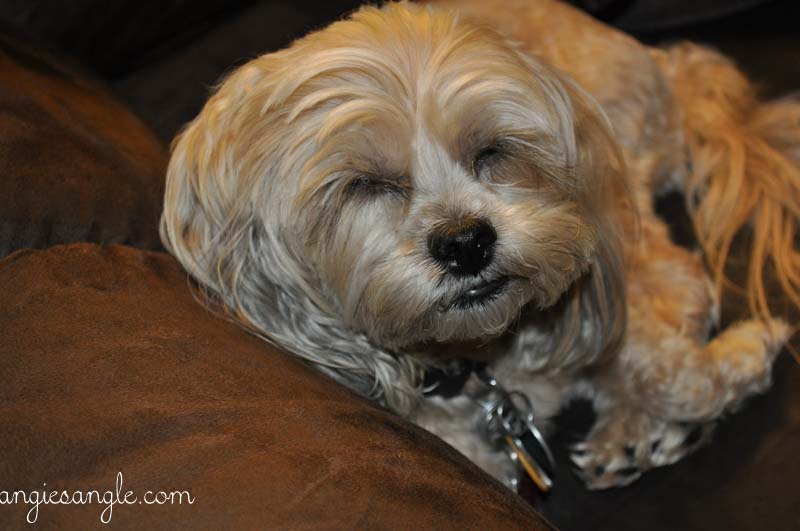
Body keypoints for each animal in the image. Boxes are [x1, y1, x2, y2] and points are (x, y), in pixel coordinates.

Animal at [159, 0, 796, 490]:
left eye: (491, 151)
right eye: (365, 184)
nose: (466, 243)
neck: (475, 363)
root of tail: (659, 60)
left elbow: (672, 374)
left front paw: (744, 351)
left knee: (683, 283)